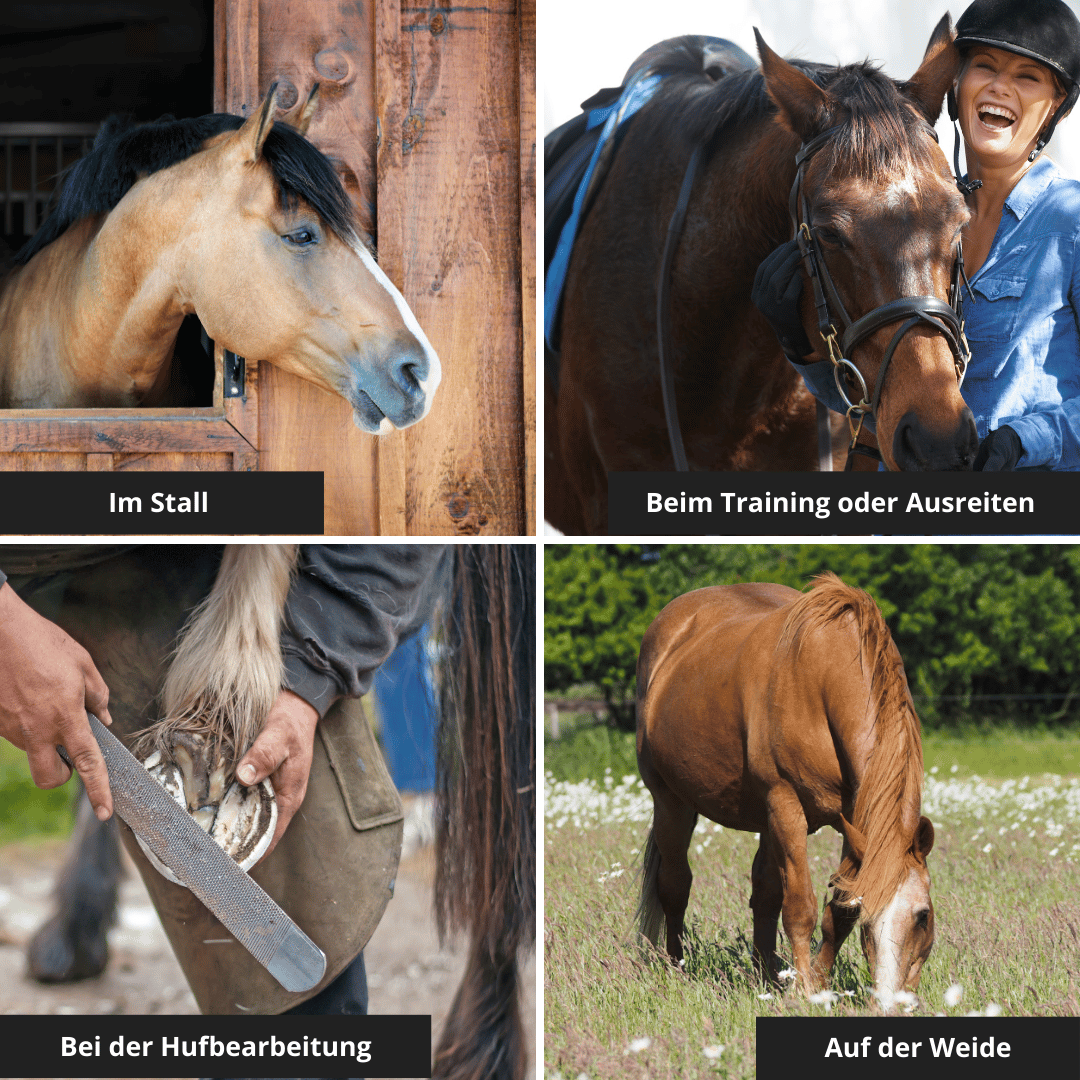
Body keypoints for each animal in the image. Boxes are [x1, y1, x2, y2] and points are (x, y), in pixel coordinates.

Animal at [635, 574, 935, 1005]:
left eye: (923, 916)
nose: (891, 1005)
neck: (825, 674)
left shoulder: (855, 818)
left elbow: (837, 908)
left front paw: (819, 982)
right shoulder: (787, 804)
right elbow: (800, 907)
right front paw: (807, 990)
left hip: (765, 820)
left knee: (763, 894)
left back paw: (768, 975)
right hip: (671, 803)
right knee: (676, 884)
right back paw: (679, 967)